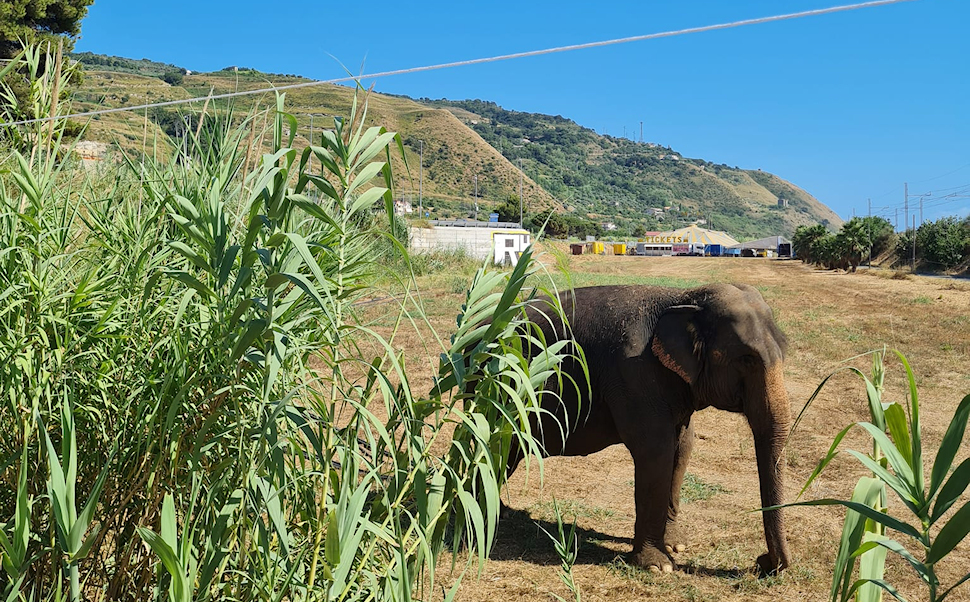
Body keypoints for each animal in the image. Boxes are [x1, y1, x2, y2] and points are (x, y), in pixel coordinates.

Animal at [505, 283, 792, 575]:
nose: (762, 562)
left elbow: (683, 448)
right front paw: (658, 566)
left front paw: (676, 546)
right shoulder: (633, 373)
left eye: (785, 350)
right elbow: (656, 452)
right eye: (747, 359)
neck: (681, 298)